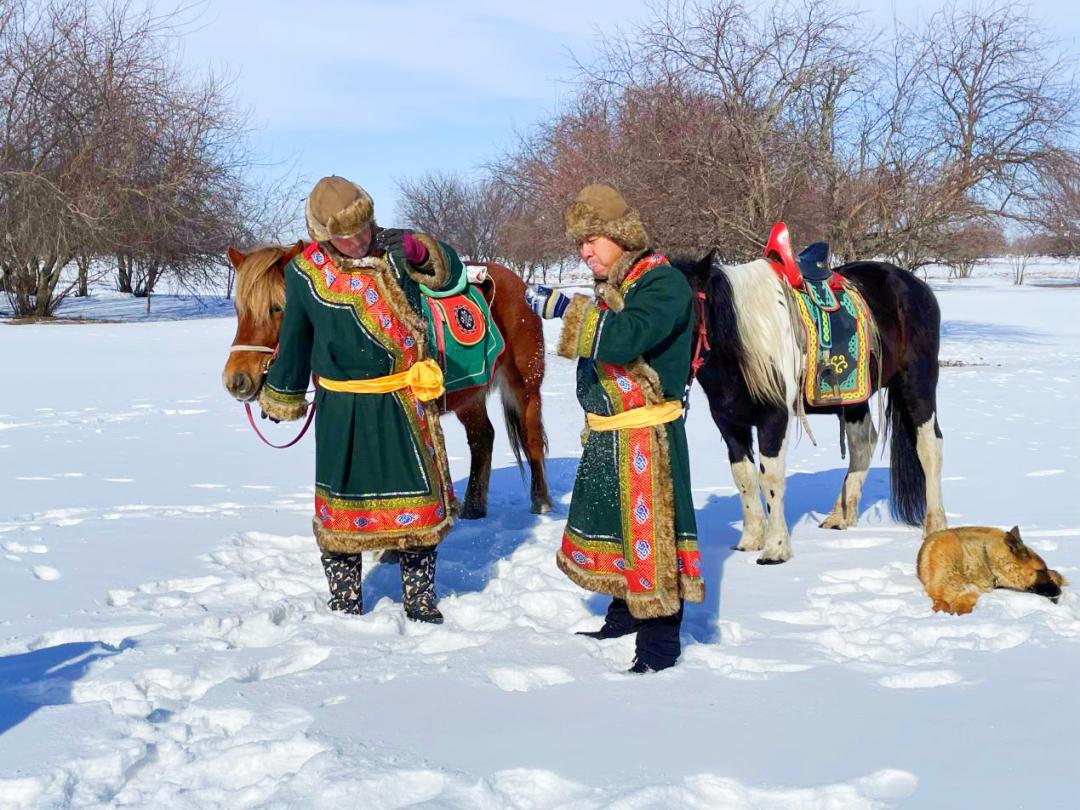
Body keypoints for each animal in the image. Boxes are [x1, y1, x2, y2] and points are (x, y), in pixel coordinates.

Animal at [222, 243, 552, 520]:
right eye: (239, 309)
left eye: (278, 308)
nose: (236, 380)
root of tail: (520, 285)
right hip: (469, 398)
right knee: (482, 439)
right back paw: (473, 507)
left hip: (526, 386)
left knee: (532, 438)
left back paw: (541, 501)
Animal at [682, 252, 946, 565]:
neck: (744, 338)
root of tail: (915, 285)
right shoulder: (729, 422)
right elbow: (744, 478)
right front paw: (750, 541)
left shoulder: (775, 417)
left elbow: (770, 478)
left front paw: (776, 549)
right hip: (853, 398)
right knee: (863, 444)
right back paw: (839, 516)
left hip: (917, 384)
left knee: (929, 447)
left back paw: (935, 526)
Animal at [915, 527, 1067, 613]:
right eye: (1041, 571)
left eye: (1046, 570)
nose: (1059, 592)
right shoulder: (938, 591)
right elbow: (942, 604)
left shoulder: (971, 593)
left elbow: (963, 606)